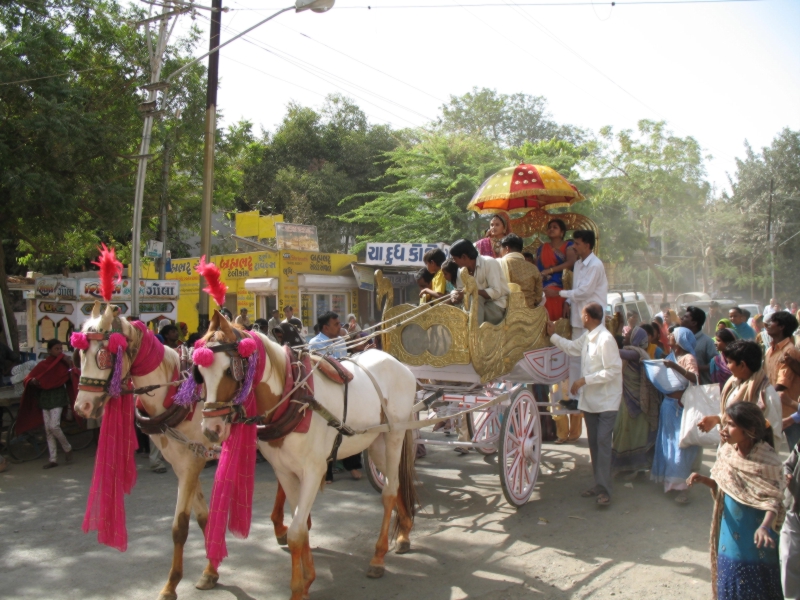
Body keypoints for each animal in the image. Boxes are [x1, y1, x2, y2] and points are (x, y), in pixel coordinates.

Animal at [198, 312, 418, 596]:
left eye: (230, 370)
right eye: (199, 373)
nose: (211, 430)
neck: (294, 397)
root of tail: (397, 363)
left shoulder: (314, 471)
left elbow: (295, 532)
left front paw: (297, 588)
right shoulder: (284, 471)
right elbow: (299, 528)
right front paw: (307, 580)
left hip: (394, 435)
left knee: (389, 492)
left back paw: (378, 558)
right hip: (375, 442)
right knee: (397, 482)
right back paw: (404, 535)